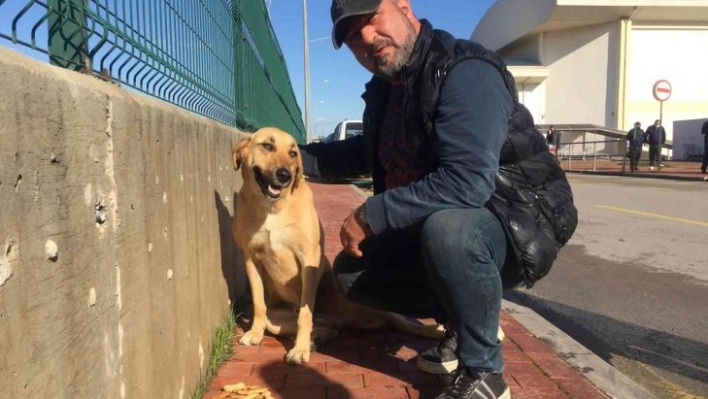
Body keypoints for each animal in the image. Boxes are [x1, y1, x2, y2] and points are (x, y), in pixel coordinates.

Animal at [232, 128, 442, 366]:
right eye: (267, 145)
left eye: (293, 153)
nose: (285, 175)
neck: (273, 208)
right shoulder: (251, 259)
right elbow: (259, 304)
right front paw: (255, 333)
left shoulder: (309, 259)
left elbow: (305, 313)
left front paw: (299, 349)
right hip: (280, 316)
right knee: (325, 328)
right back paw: (316, 339)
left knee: (403, 322)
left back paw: (436, 333)